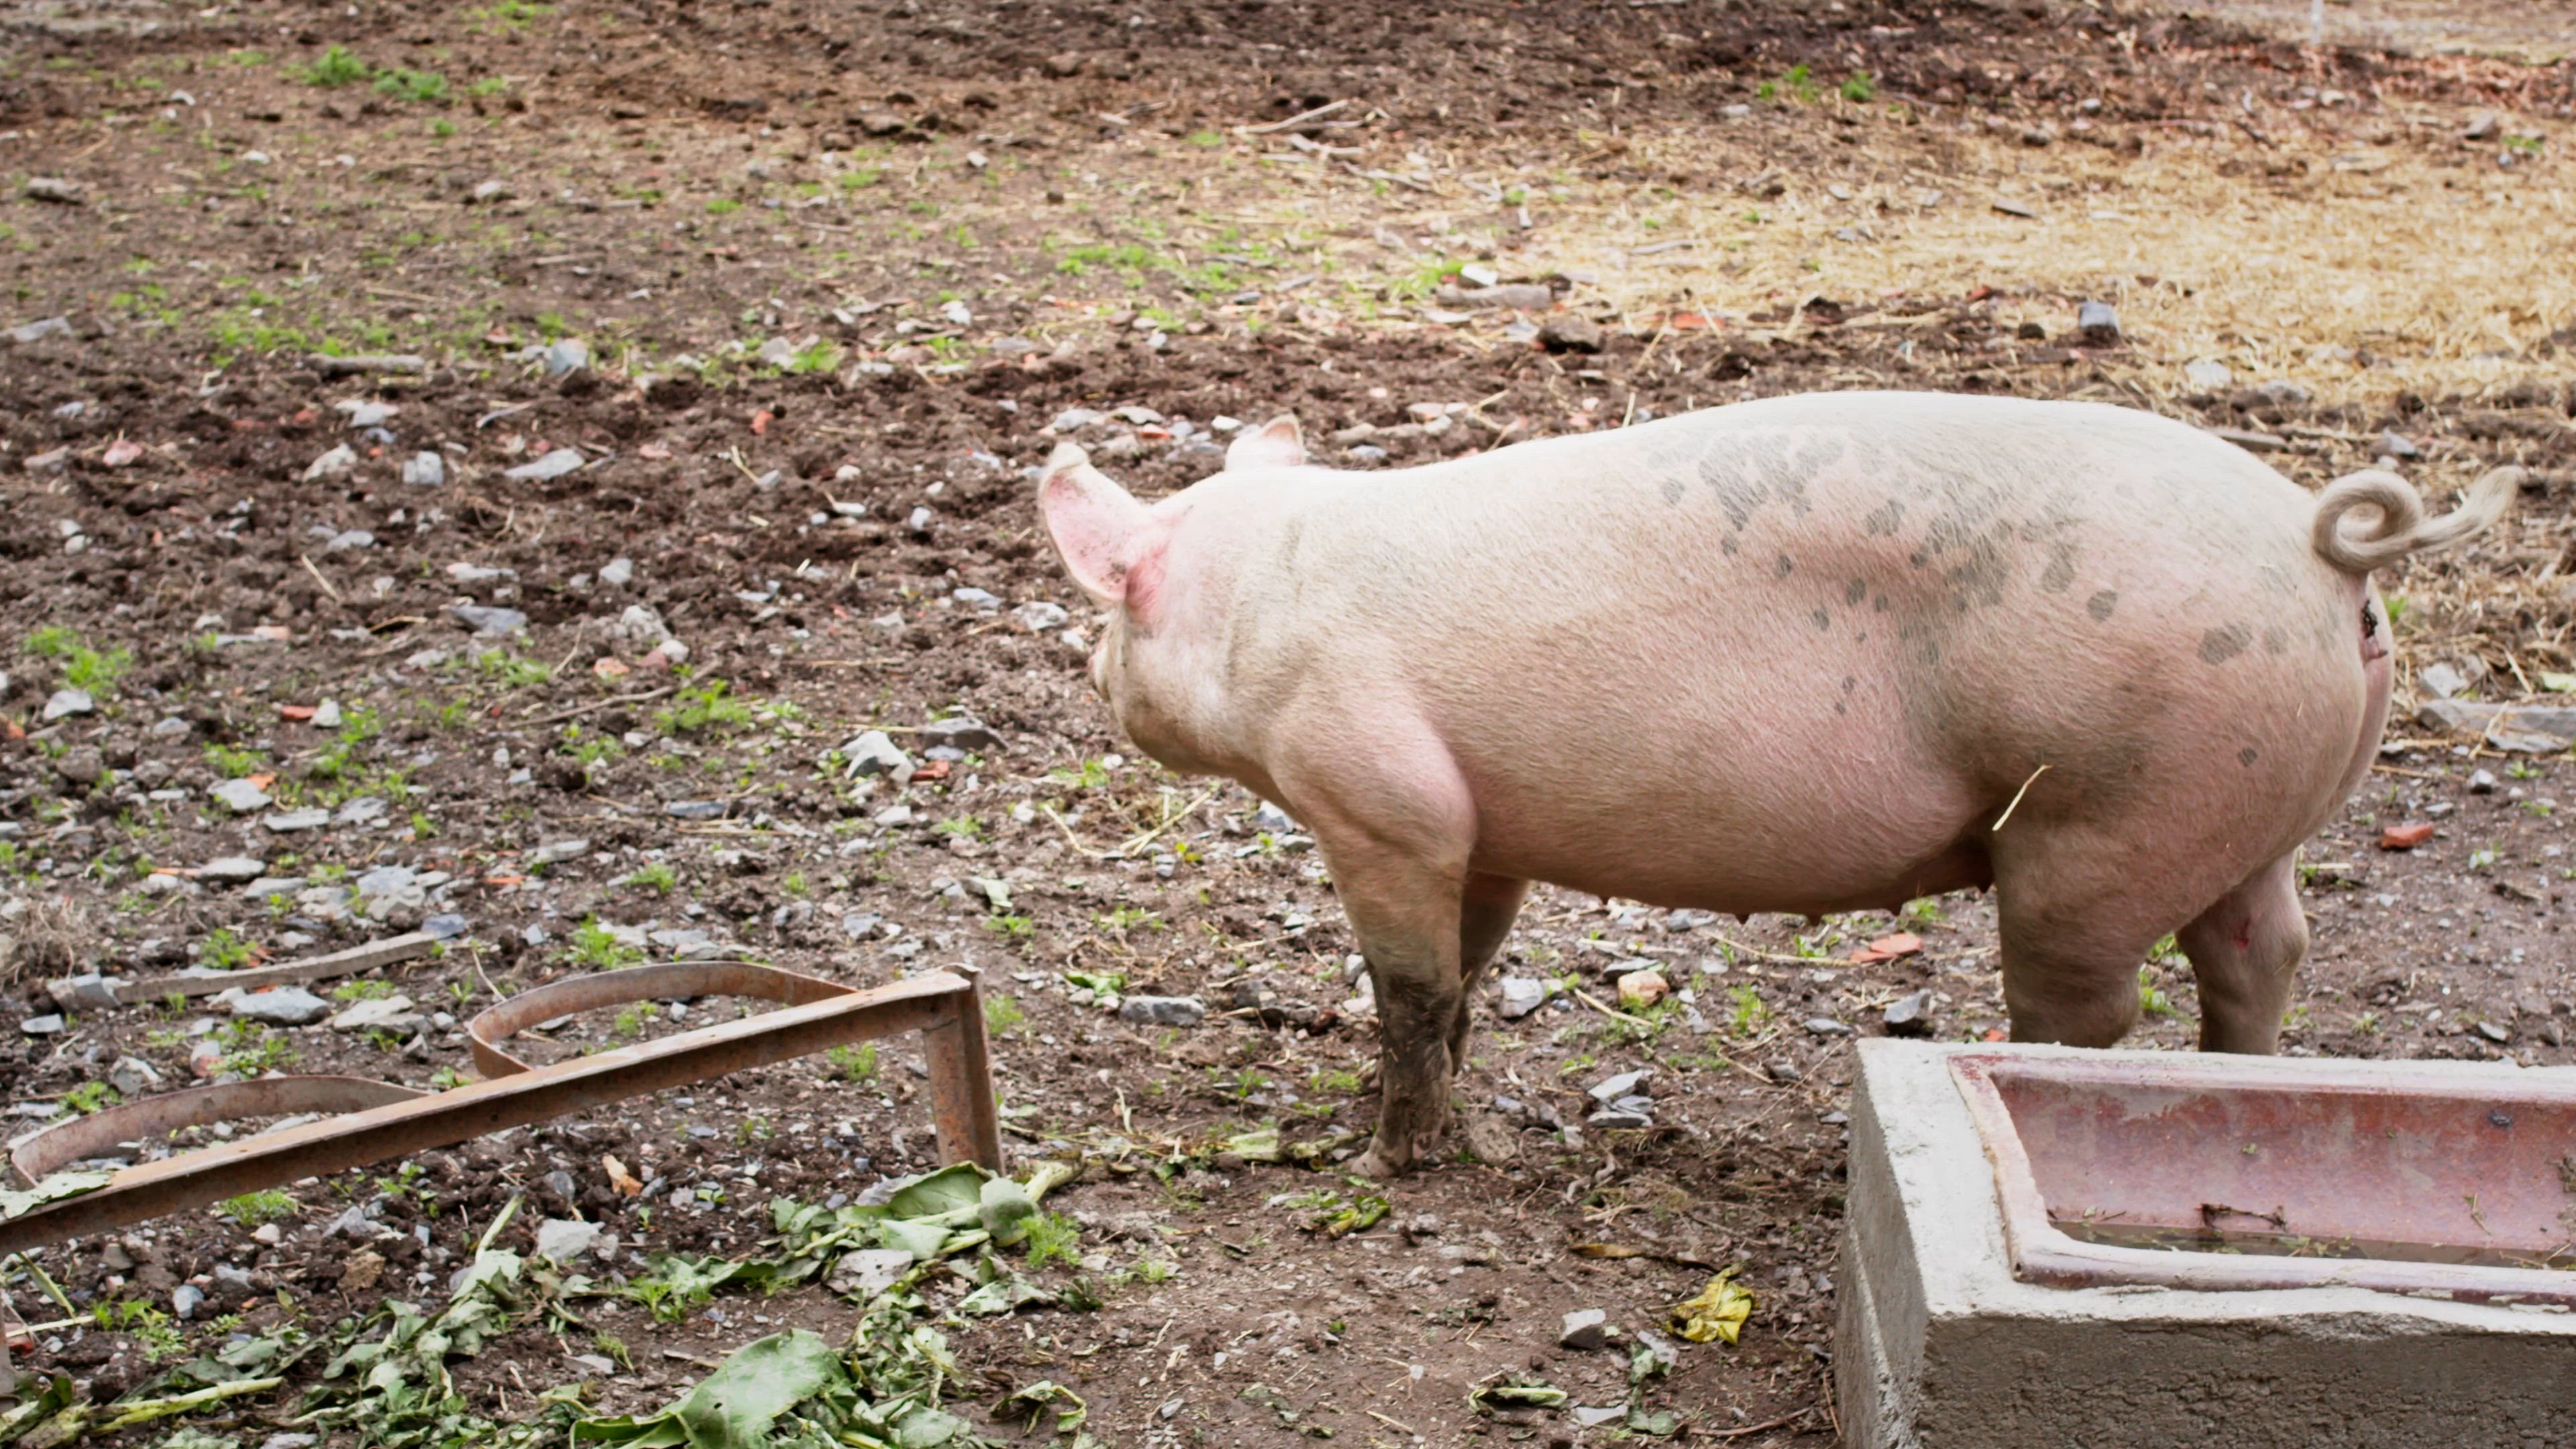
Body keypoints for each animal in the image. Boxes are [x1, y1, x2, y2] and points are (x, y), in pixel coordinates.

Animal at [1035, 391, 2518, 1176]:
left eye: (1115, 604)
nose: (1089, 670)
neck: (1259, 603)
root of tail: (2323, 552)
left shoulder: (1373, 794)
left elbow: (1408, 986)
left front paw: (1394, 1161)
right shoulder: (1477, 823)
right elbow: (1465, 967)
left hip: (2108, 814)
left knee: (2095, 1005)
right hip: (2246, 813)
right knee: (2262, 953)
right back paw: (2238, 1091)